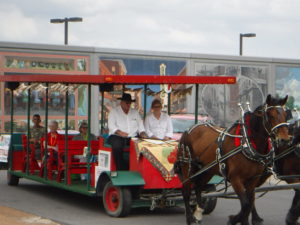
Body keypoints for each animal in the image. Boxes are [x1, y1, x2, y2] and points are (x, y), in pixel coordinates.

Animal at [175, 95, 290, 225]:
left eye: (285, 115)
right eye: (270, 115)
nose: (284, 140)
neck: (247, 143)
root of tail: (188, 130)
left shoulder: (252, 180)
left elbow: (250, 203)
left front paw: (242, 220)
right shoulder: (235, 179)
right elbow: (245, 204)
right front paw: (233, 219)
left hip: (207, 170)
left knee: (198, 187)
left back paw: (198, 213)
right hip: (187, 166)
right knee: (186, 191)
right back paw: (190, 218)